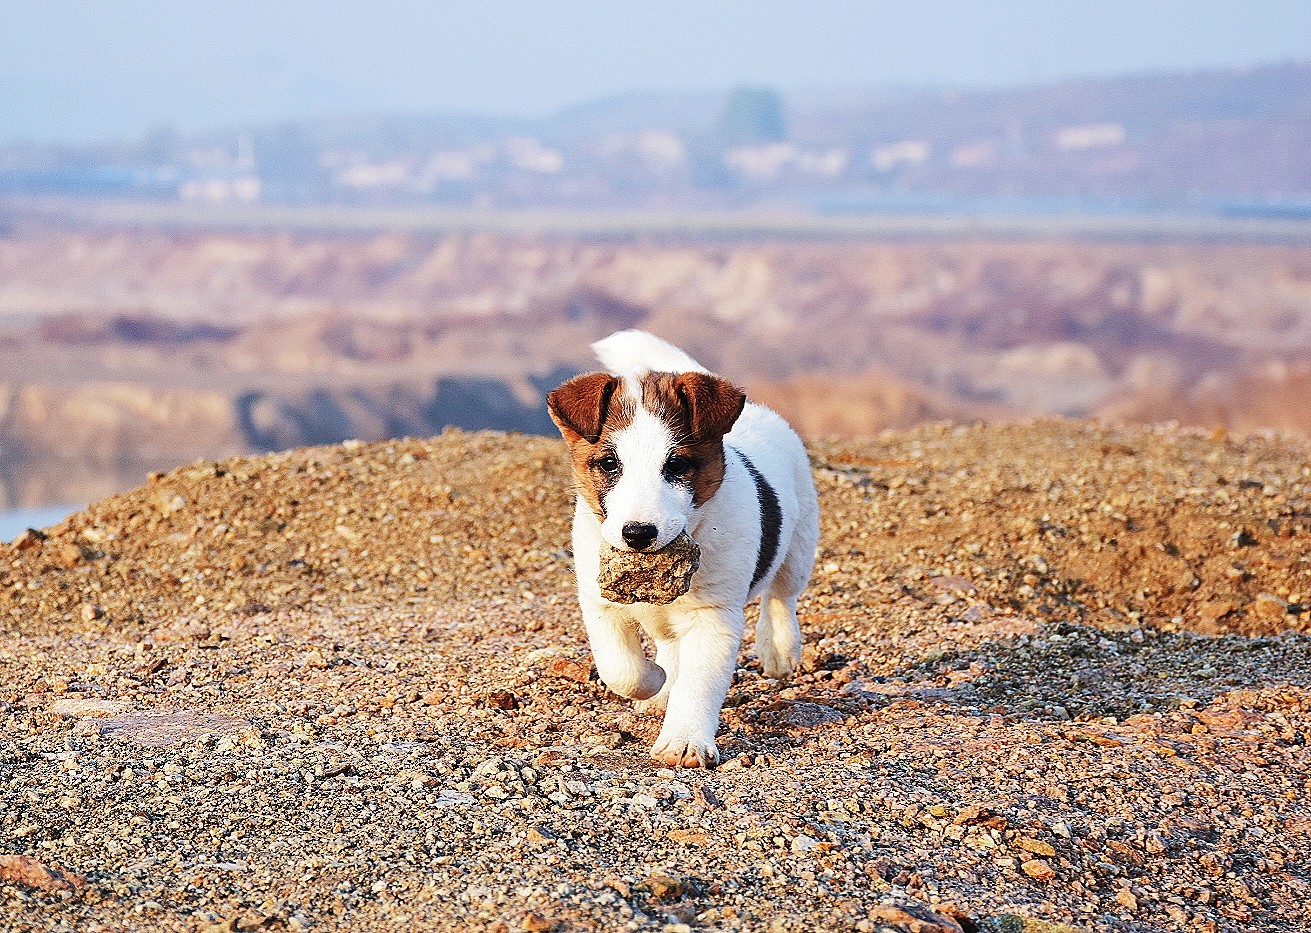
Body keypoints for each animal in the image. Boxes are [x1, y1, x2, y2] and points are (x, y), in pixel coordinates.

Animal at [545, 331, 818, 770]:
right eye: (608, 463)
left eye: (676, 465)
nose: (638, 533)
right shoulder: (598, 602)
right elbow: (621, 668)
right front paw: (655, 683)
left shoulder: (714, 618)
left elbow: (698, 683)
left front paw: (685, 741)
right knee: (669, 645)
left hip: (800, 546)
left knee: (782, 596)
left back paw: (779, 649)